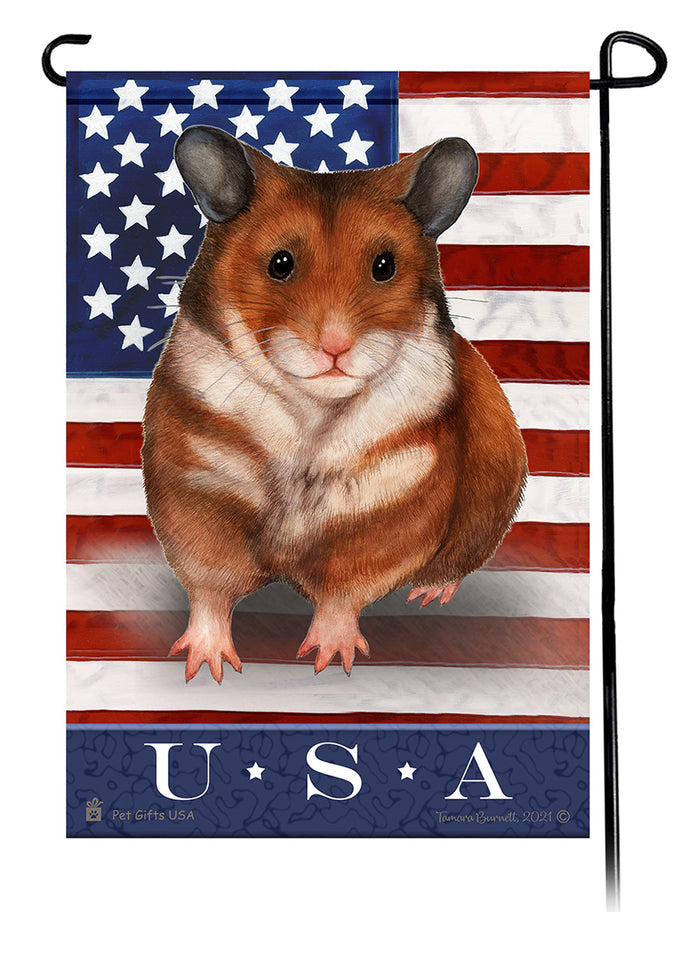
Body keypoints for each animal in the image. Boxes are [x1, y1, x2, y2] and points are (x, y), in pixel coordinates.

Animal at [141, 125, 527, 682]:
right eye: (280, 263)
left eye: (385, 266)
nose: (335, 347)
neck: (314, 412)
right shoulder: (197, 486)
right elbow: (210, 586)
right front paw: (207, 666)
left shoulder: (391, 502)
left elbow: (343, 593)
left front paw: (328, 662)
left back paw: (430, 592)